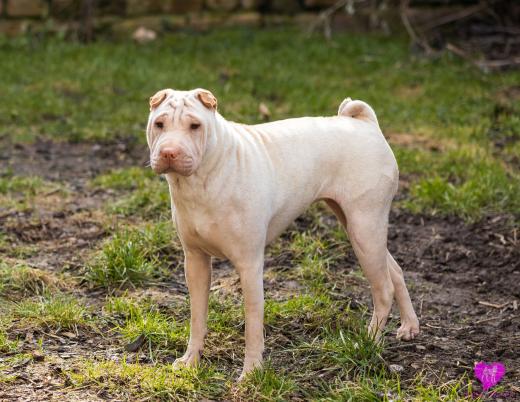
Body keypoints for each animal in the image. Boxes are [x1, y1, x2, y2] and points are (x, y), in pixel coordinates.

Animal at [146, 88, 420, 379]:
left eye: (195, 126)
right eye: (159, 124)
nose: (169, 153)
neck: (204, 178)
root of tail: (365, 124)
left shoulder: (249, 265)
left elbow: (252, 325)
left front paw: (251, 373)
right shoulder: (195, 261)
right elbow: (197, 317)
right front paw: (191, 361)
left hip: (364, 227)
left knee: (383, 288)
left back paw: (369, 342)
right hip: (359, 228)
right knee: (395, 271)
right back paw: (409, 326)